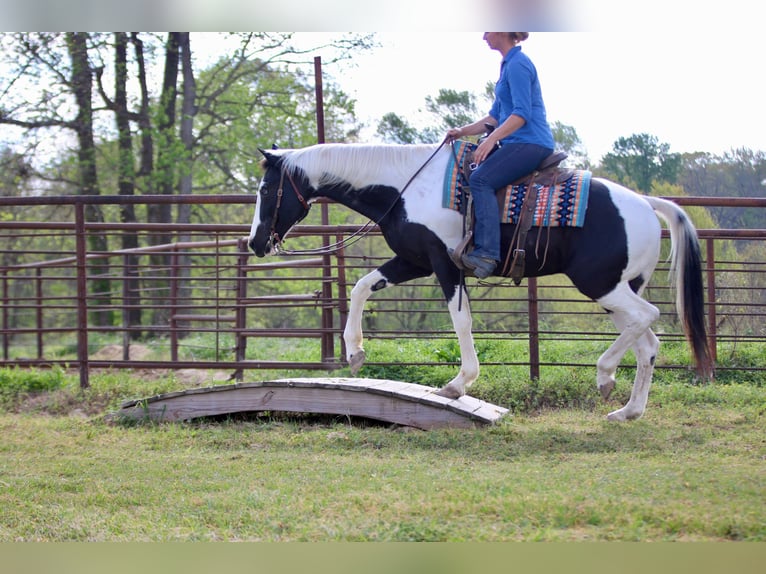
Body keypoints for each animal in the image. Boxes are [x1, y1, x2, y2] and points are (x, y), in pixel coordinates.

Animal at [248, 142, 714, 421]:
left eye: (266, 189)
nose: (255, 242)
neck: (404, 187)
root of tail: (646, 203)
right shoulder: (413, 260)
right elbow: (362, 286)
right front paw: (355, 352)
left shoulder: (444, 263)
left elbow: (461, 320)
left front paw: (458, 383)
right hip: (616, 291)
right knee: (647, 341)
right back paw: (627, 411)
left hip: (601, 285)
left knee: (648, 318)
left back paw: (604, 376)